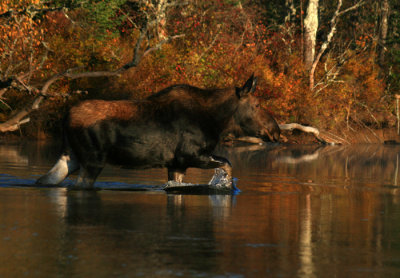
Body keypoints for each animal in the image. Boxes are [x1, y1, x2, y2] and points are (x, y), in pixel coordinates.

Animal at [38, 75, 282, 189]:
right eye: (257, 104)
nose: (276, 131)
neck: (216, 122)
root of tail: (66, 117)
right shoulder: (191, 155)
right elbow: (228, 164)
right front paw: (226, 187)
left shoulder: (177, 164)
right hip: (92, 160)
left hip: (70, 156)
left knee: (46, 179)